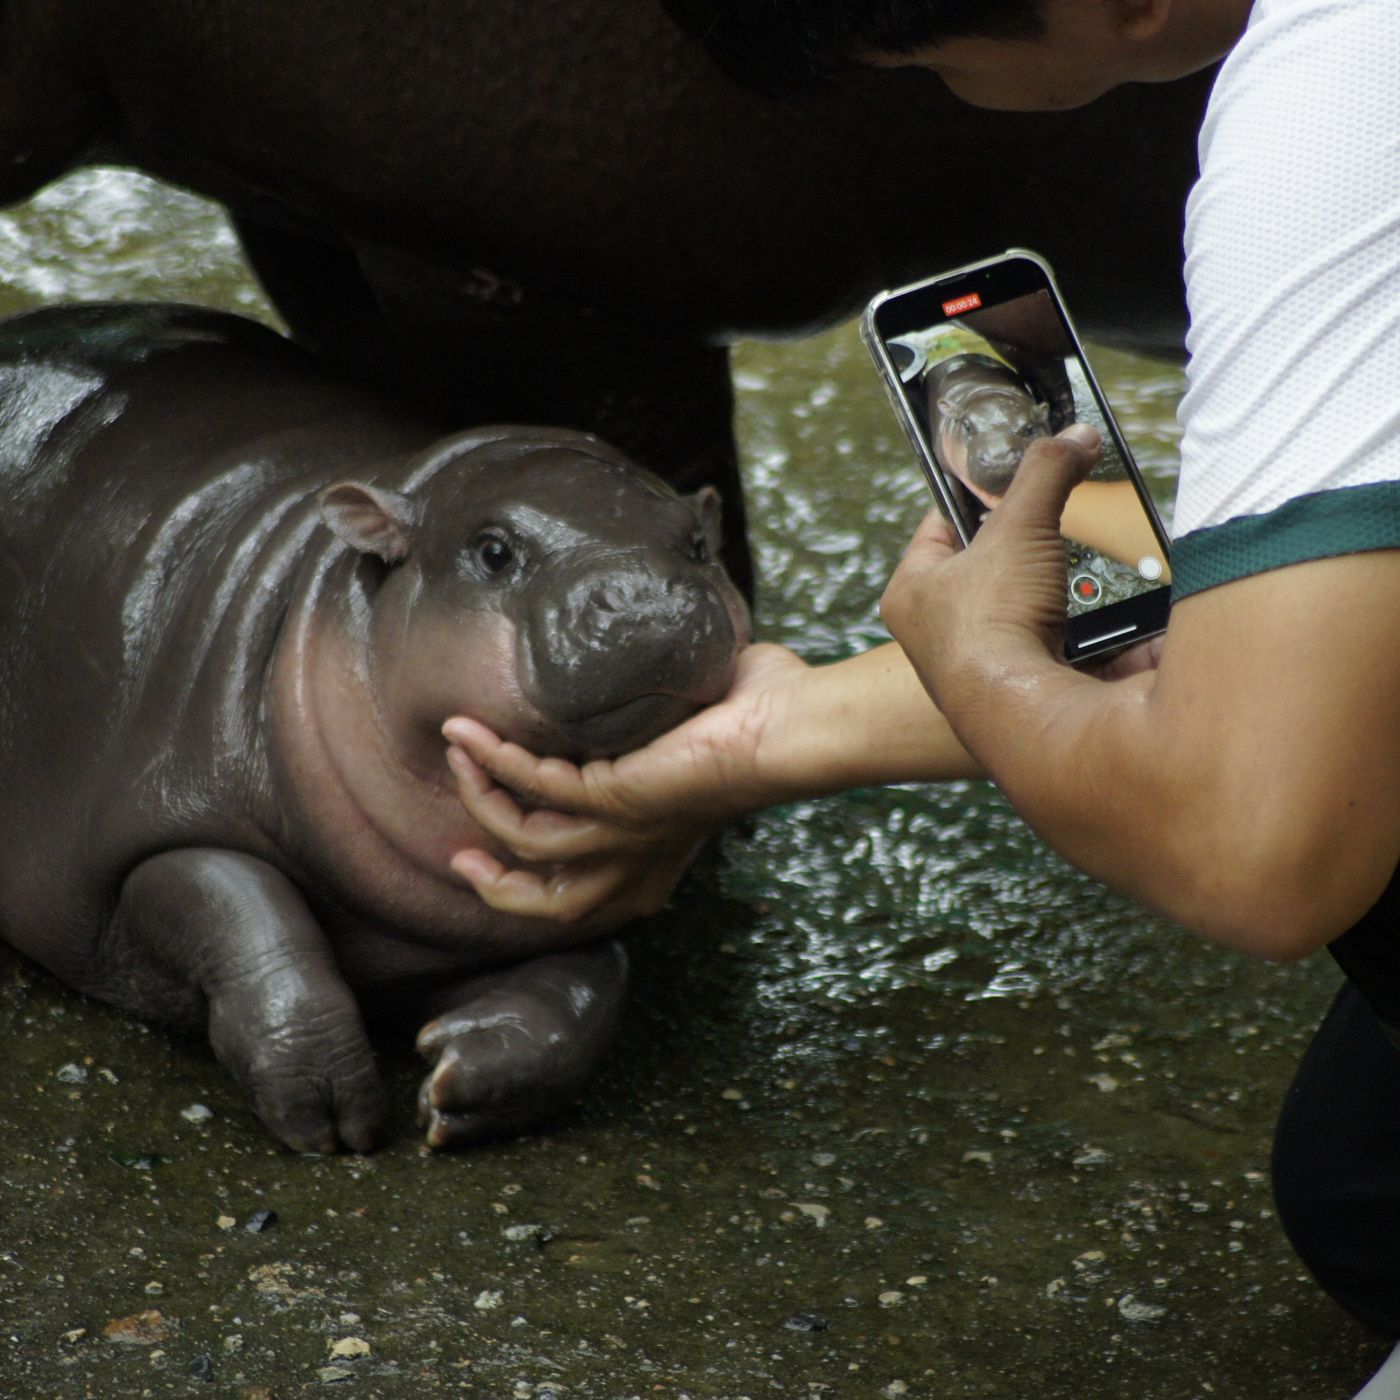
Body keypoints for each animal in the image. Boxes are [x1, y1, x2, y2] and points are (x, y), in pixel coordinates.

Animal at [0, 303, 750, 1148]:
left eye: (700, 544)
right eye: (494, 551)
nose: (645, 594)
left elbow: (591, 985)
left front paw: (465, 1075)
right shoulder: (162, 825)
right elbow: (254, 925)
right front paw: (330, 1117)